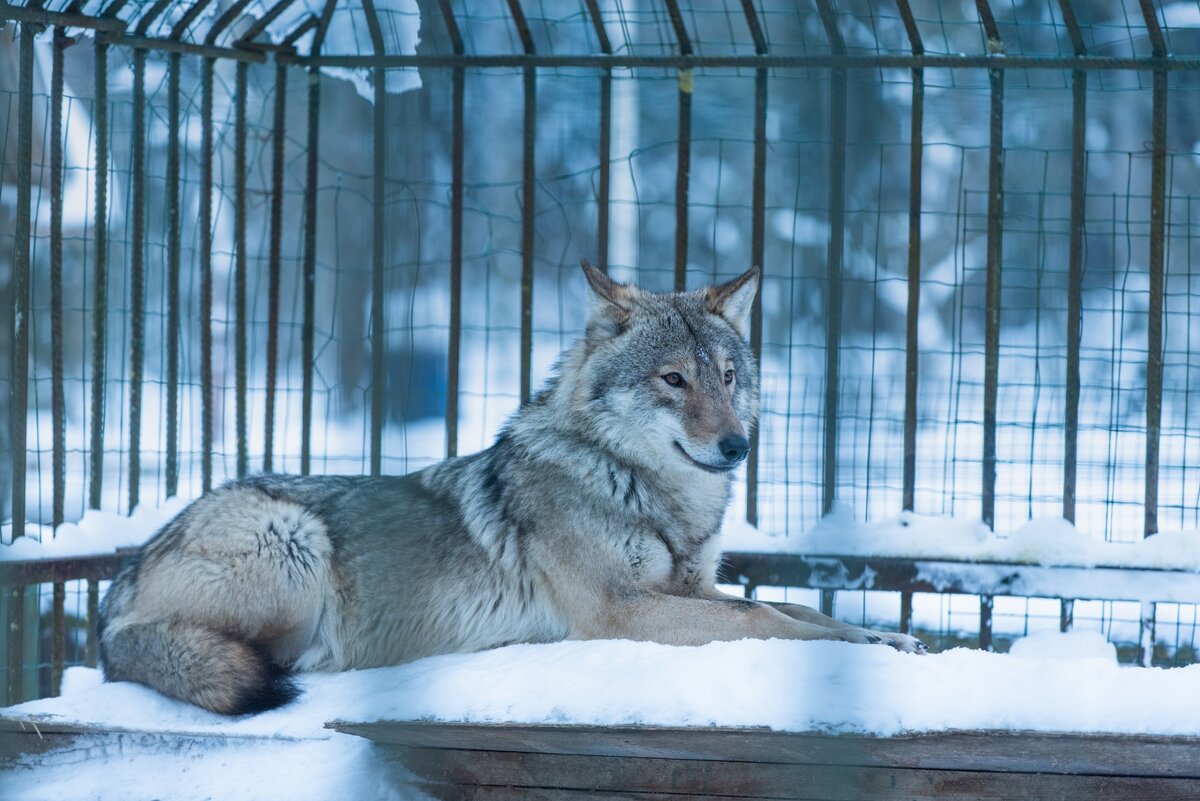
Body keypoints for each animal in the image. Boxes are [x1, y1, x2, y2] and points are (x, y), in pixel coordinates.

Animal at [103, 262, 926, 714]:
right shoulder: (622, 610)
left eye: (728, 377)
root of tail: (121, 583)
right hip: (292, 541)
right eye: (673, 380)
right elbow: (770, 620)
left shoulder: (694, 589)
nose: (737, 446)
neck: (641, 489)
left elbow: (791, 607)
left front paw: (886, 639)